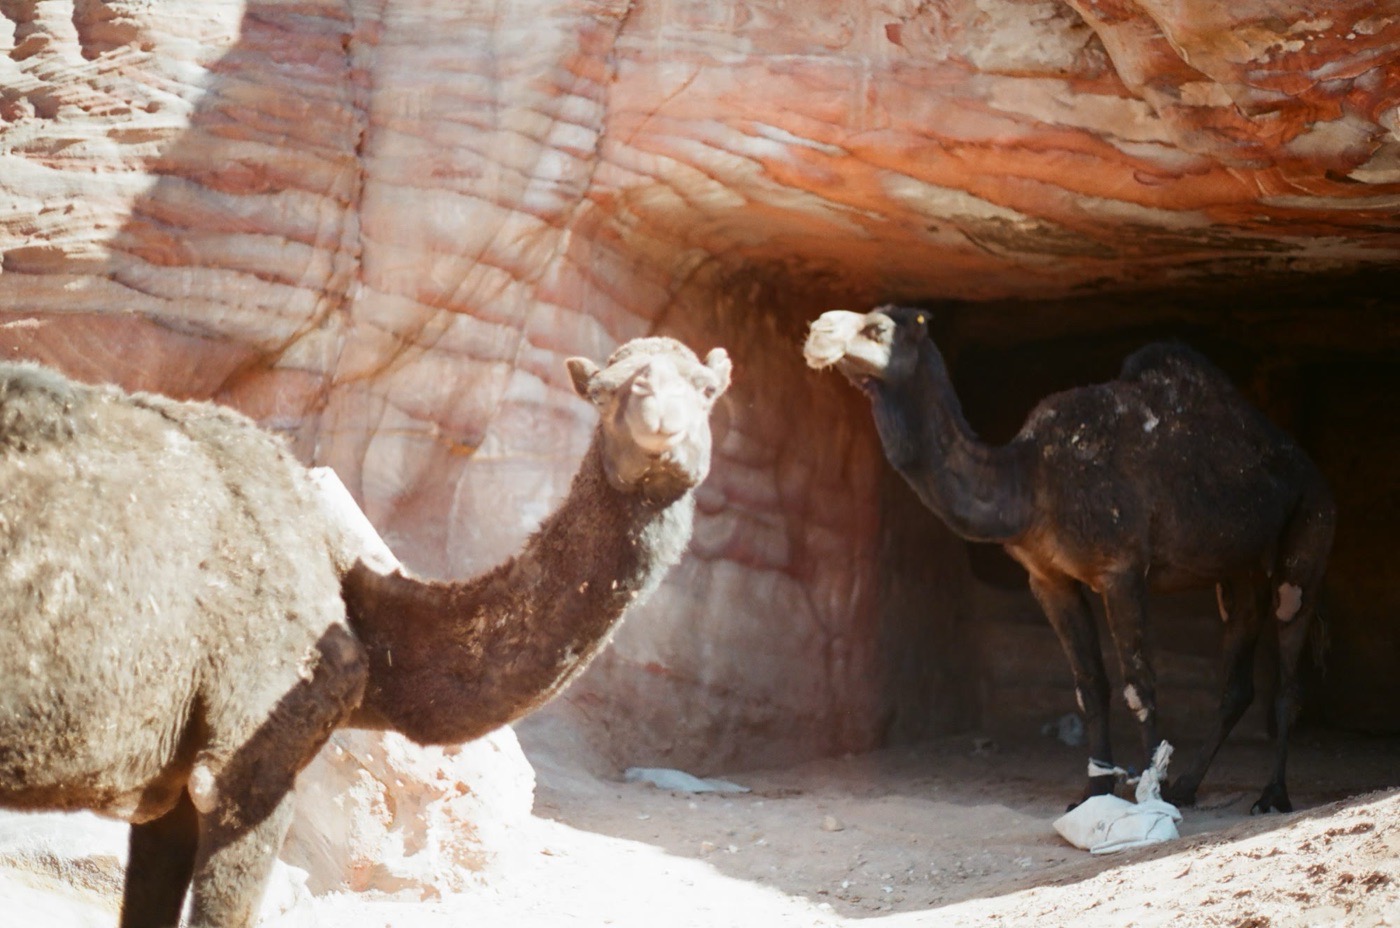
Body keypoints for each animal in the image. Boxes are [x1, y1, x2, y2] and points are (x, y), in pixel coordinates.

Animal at [804, 306, 1335, 815]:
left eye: (877, 329)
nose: (817, 331)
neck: (1031, 479)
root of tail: (1306, 464)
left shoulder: (1122, 570)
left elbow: (1139, 684)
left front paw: (1151, 795)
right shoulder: (1049, 577)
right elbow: (1090, 685)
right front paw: (1095, 791)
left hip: (1308, 527)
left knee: (1289, 669)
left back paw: (1272, 795)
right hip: (1239, 570)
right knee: (1237, 677)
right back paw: (1189, 785)